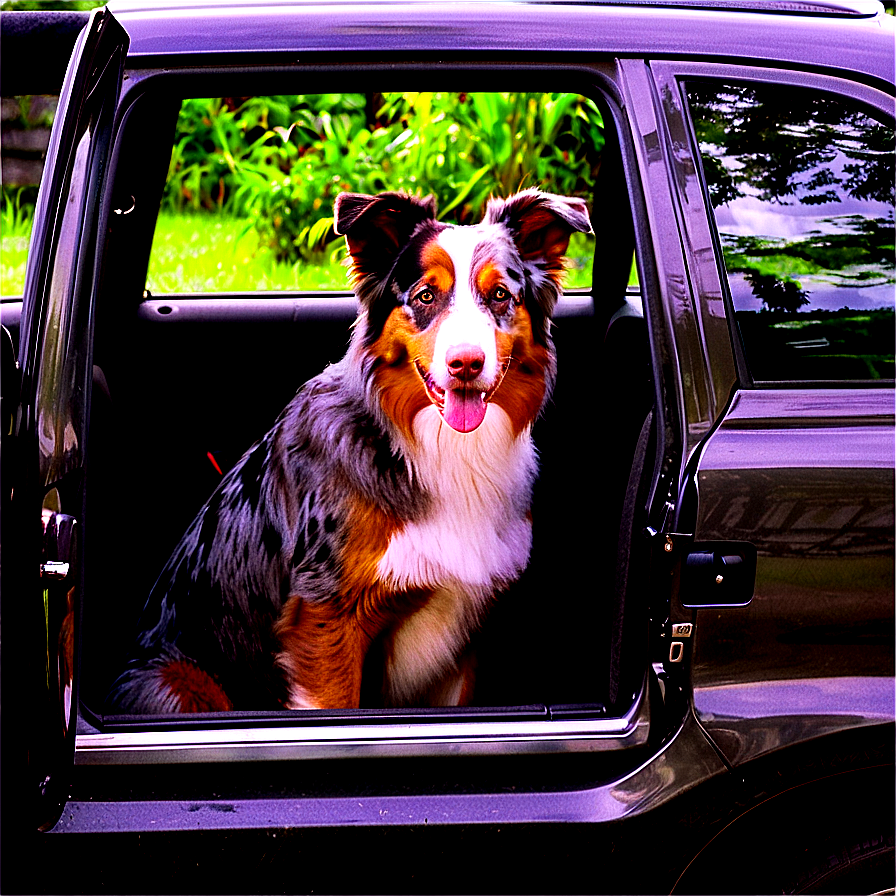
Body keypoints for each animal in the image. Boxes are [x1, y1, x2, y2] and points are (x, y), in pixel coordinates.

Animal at [108, 191, 592, 712]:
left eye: (501, 295)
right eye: (425, 296)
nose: (465, 363)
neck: (443, 449)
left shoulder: (463, 635)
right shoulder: (326, 616)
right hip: (179, 683)